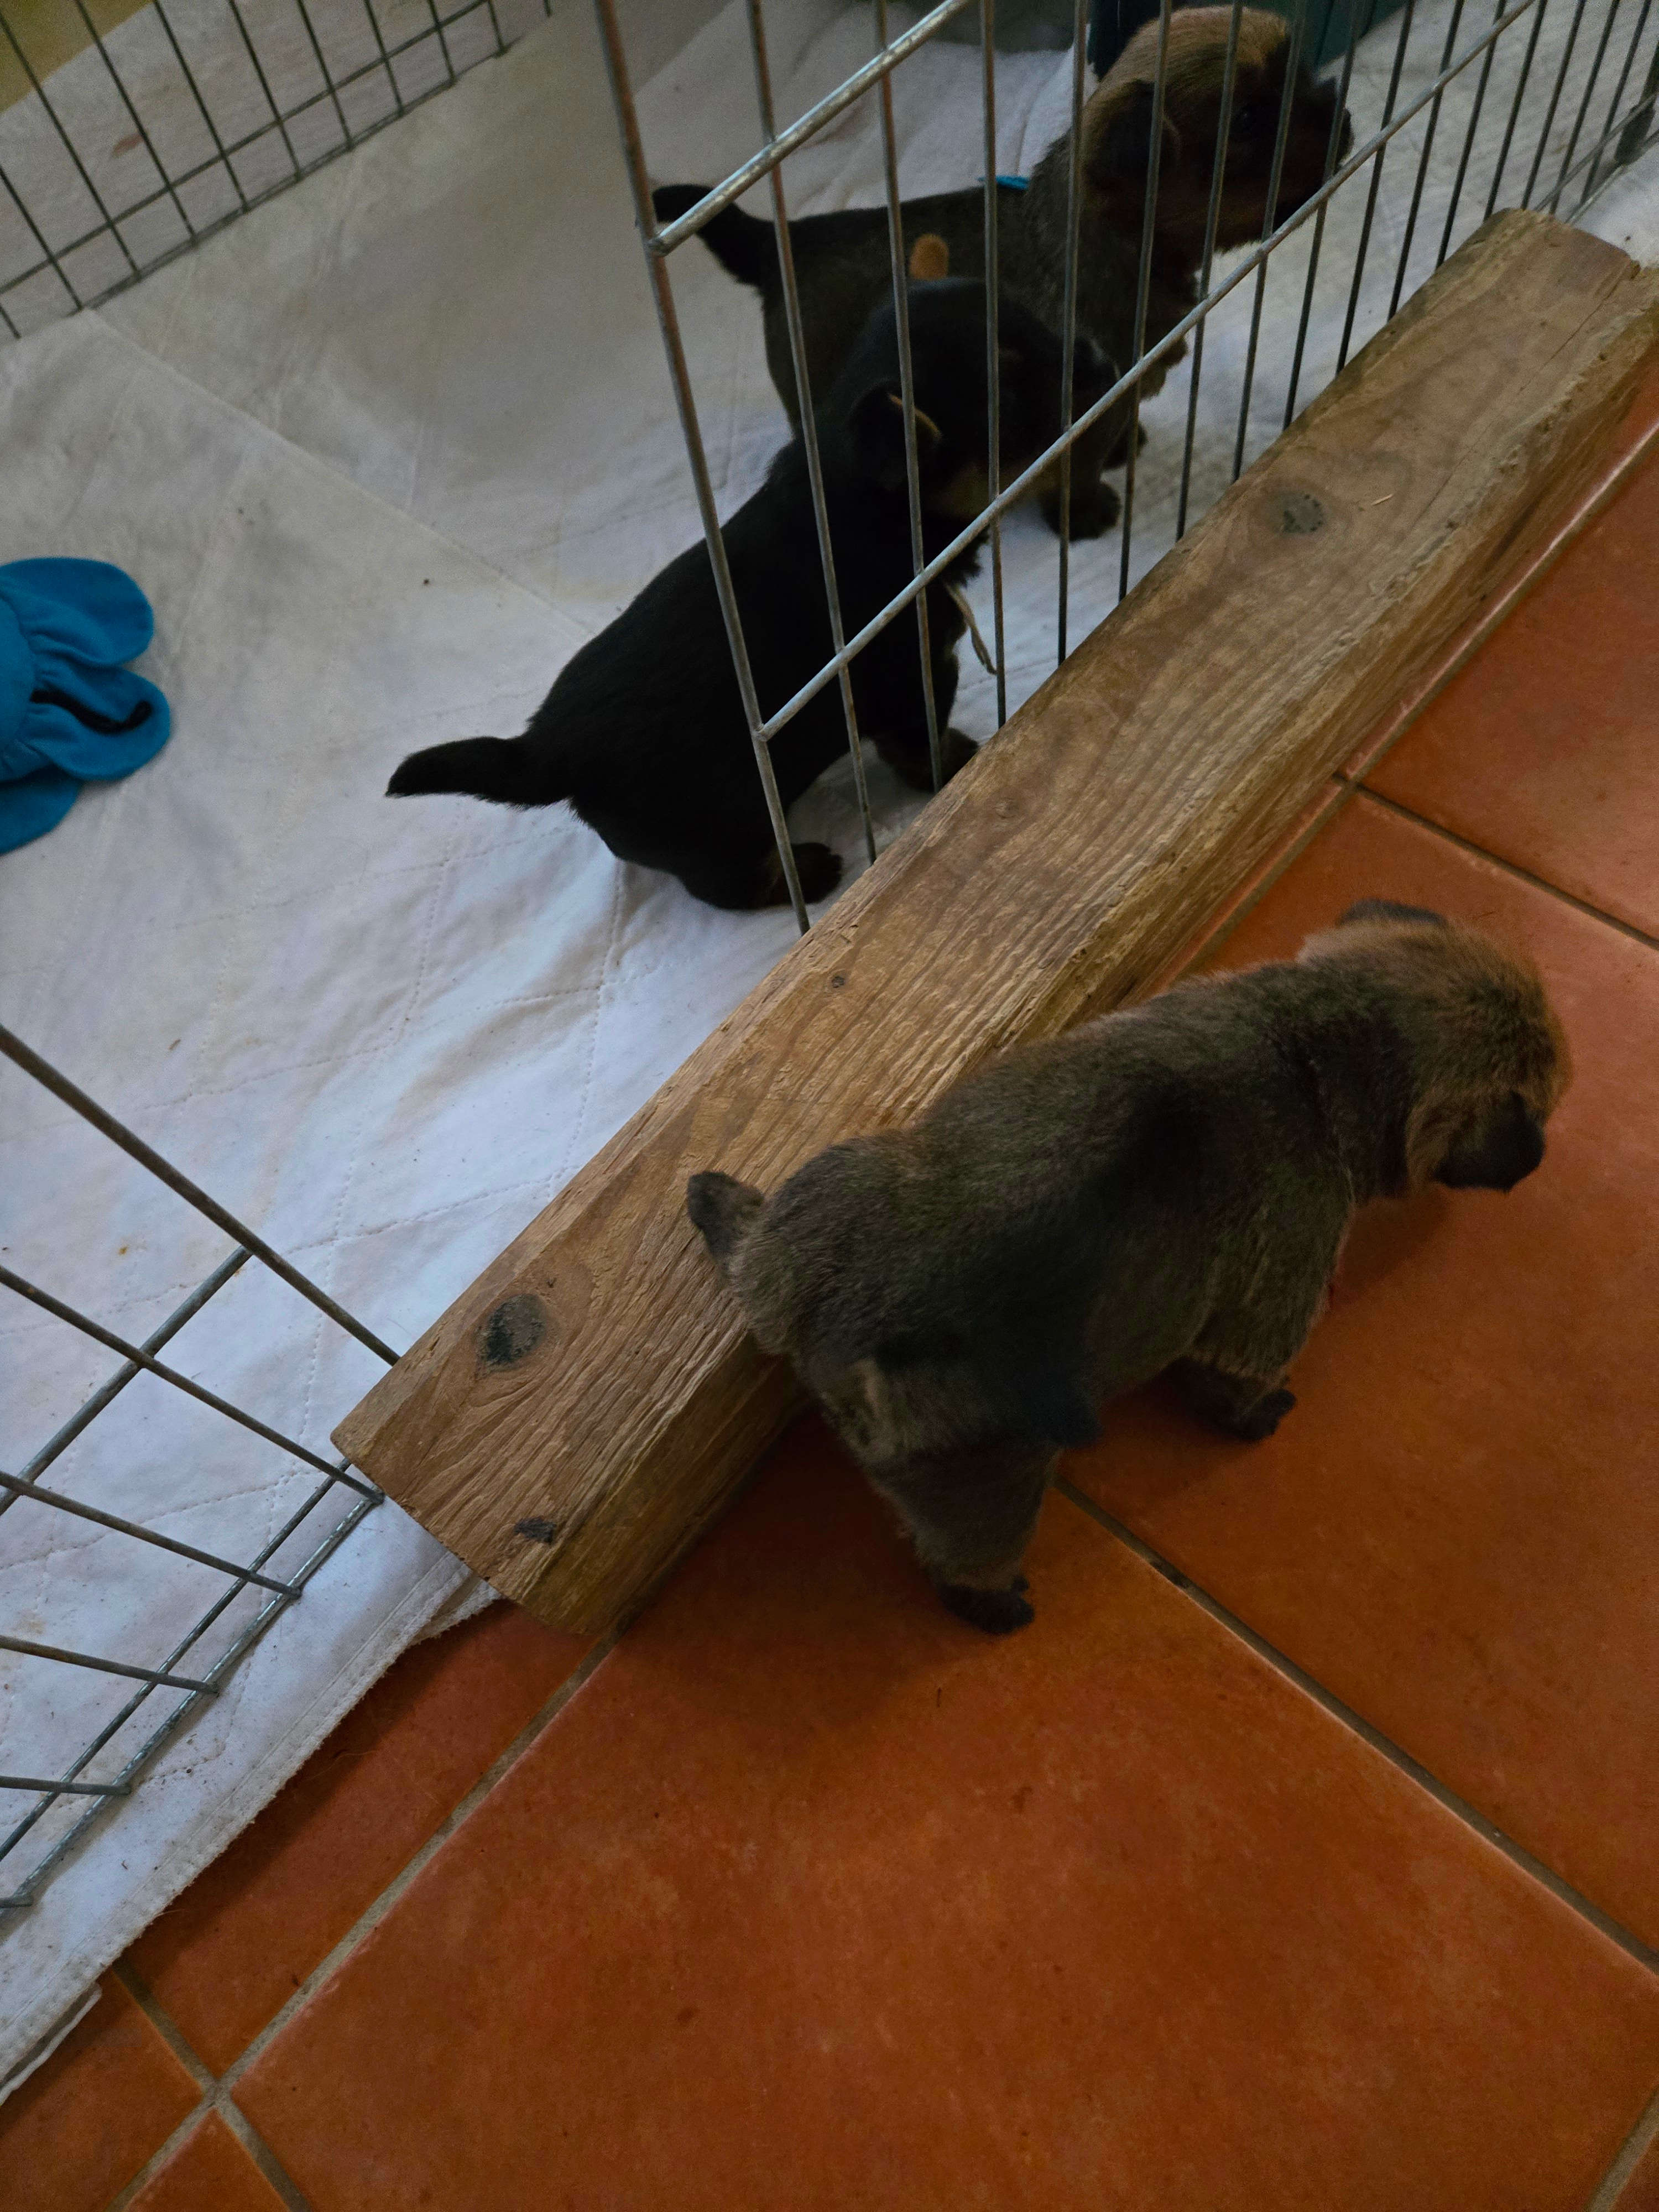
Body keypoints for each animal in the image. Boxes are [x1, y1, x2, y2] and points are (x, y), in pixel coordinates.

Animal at [387, 278, 1106, 912]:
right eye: (1009, 393)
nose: (1099, 355)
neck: (866, 510)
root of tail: (544, 749)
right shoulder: (907, 677)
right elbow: (919, 739)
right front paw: (957, 760)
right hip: (716, 823)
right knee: (722, 883)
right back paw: (805, 872)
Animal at [653, 8, 1351, 542]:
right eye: (1249, 121)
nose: (1342, 116)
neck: (1114, 241)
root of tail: (783, 245)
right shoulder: (1081, 413)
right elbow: (1079, 474)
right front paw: (1086, 517)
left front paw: (1128, 448)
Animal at [687, 902, 1571, 1630]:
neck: (1319, 1045)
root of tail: (860, 1337)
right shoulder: (1265, 1317)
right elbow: (1234, 1385)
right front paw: (1260, 1415)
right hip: (990, 1480)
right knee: (968, 1559)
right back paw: (997, 1606)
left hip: (815, 1211)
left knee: (752, 1256)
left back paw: (719, 1201)